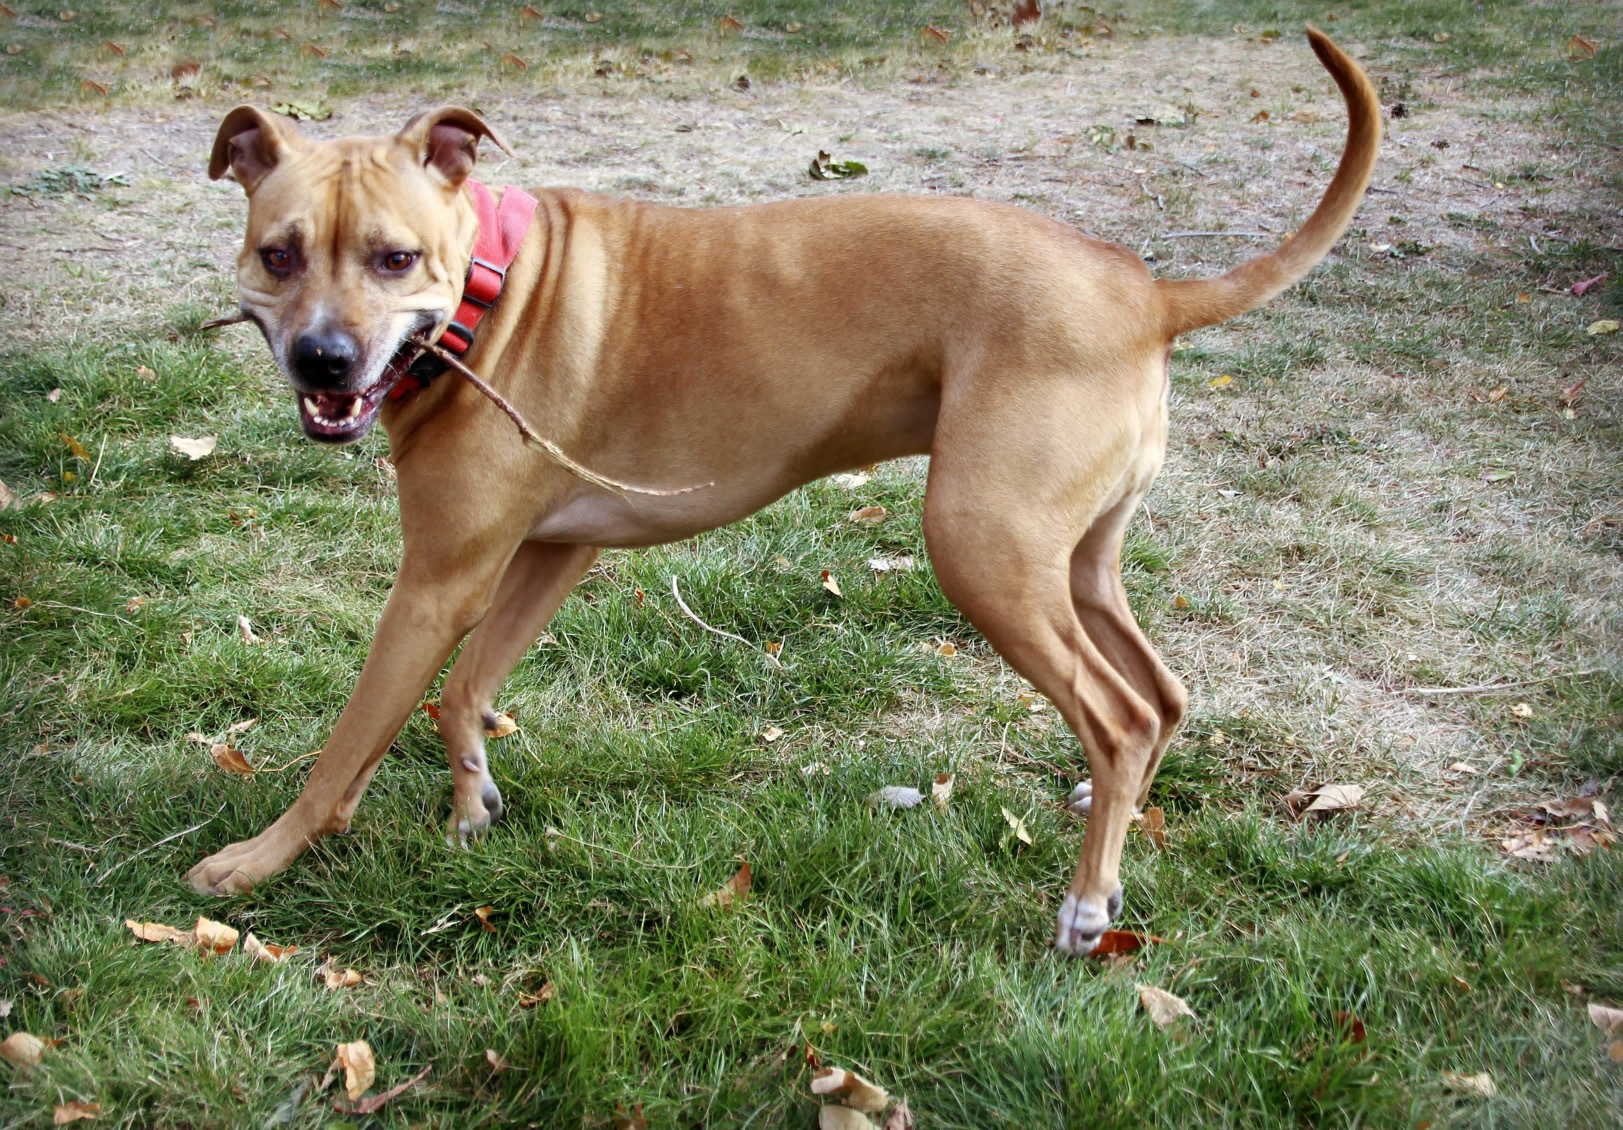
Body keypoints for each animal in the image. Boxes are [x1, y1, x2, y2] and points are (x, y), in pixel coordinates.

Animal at [196, 26, 1376, 954]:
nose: (323, 361)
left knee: (1121, 712)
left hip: (982, 550)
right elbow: (465, 690)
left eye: (393, 258)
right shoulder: (547, 555)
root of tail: (1145, 291)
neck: (492, 287)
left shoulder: (435, 583)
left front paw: (258, 860)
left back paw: (1088, 901)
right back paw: (1109, 807)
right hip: (1073, 561)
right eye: (279, 253)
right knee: (1159, 694)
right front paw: (470, 802)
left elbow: (348, 745)